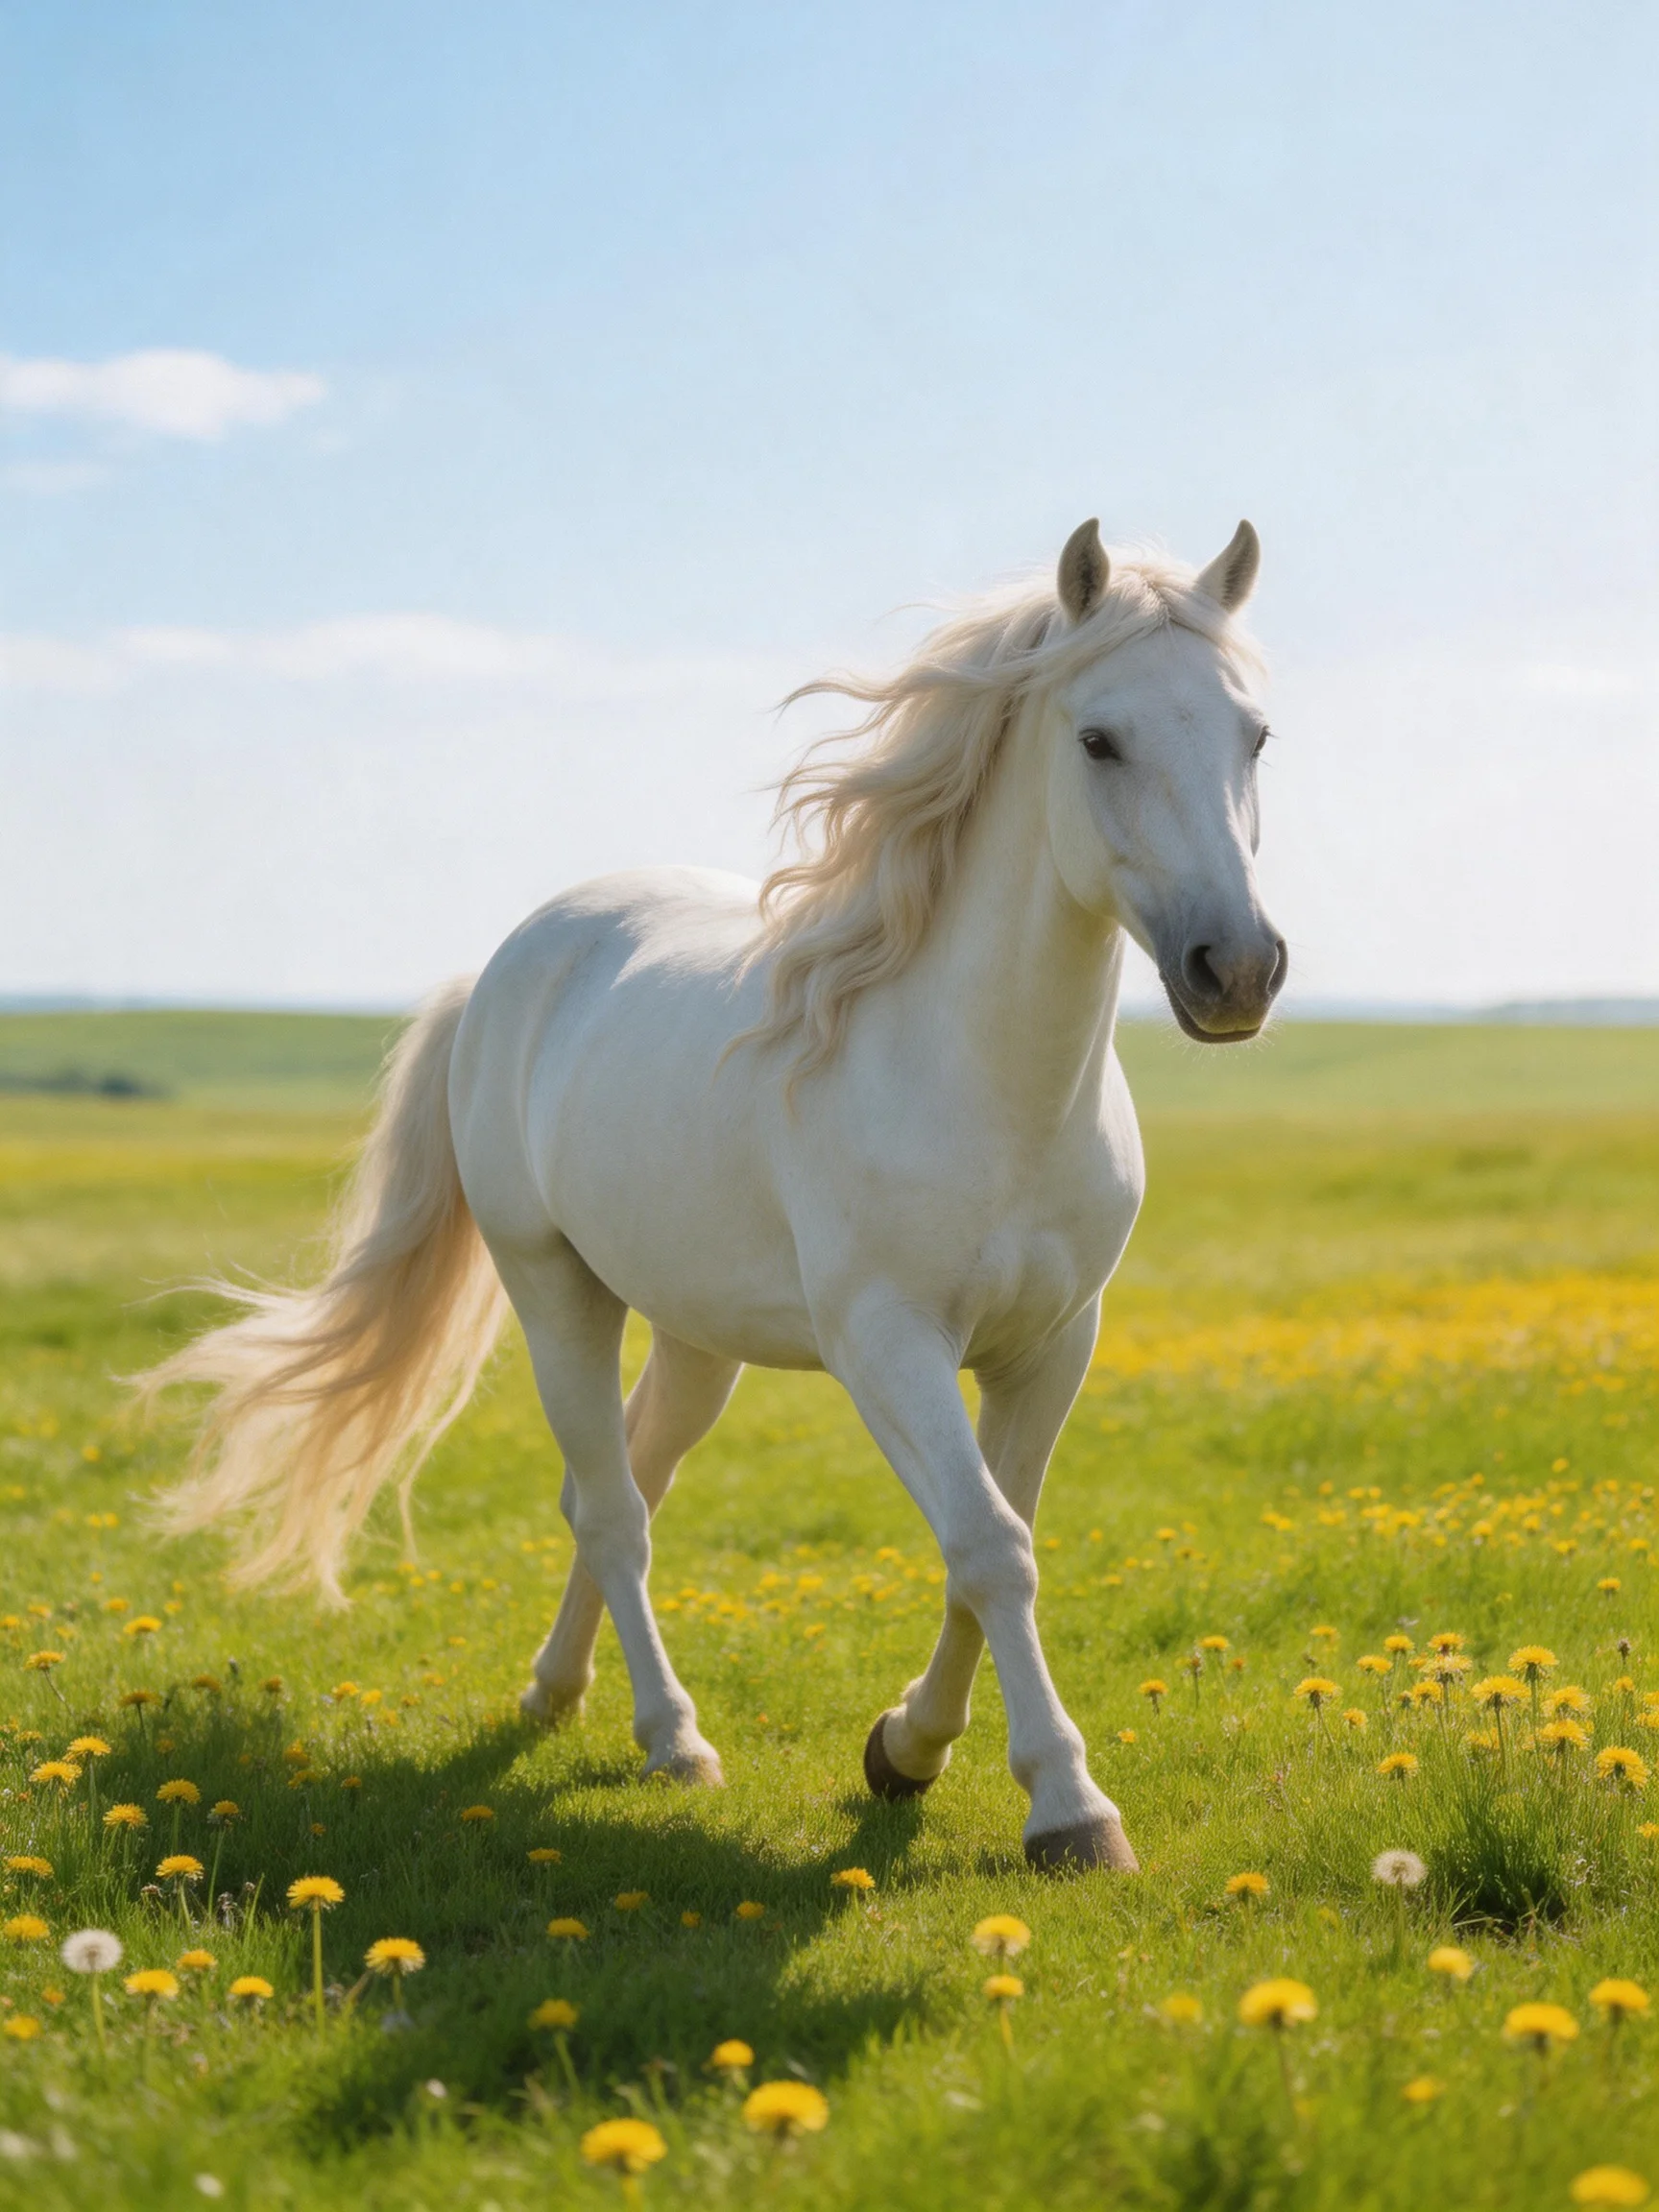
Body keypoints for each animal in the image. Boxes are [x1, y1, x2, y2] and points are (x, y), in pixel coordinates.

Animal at [146, 516, 1286, 1875]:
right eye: (1098, 738)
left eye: (1255, 735)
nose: (1238, 970)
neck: (980, 1081)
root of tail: (511, 963)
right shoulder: (887, 1344)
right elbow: (990, 1549)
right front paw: (1068, 1808)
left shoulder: (1053, 1345)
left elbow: (995, 1540)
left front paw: (906, 1750)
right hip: (555, 1292)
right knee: (609, 1509)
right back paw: (670, 1738)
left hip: (698, 1338)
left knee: (630, 1480)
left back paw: (555, 1690)